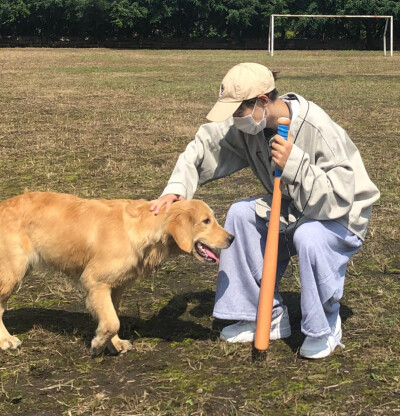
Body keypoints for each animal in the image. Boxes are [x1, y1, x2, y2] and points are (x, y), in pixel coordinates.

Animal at [0, 192, 234, 354]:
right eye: (206, 221)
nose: (231, 238)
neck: (141, 229)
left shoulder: (116, 286)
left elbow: (112, 316)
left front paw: (114, 343)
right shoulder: (95, 281)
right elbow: (112, 321)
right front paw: (98, 344)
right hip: (12, 273)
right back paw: (6, 340)